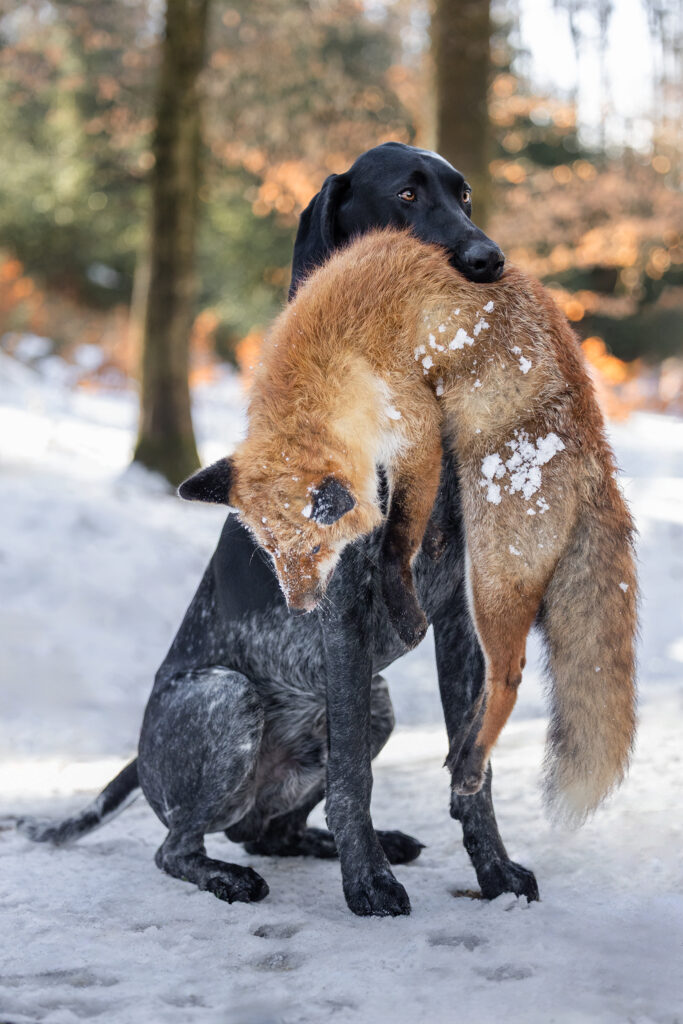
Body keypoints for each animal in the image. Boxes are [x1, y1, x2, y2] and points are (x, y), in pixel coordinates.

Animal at [181, 228, 638, 825]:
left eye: (315, 549)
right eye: (273, 552)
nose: (300, 608)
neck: (330, 351)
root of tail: (597, 453)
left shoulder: (414, 425)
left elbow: (395, 539)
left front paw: (404, 608)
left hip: (490, 576)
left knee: (509, 676)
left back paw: (472, 764)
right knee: (488, 685)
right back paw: (462, 748)